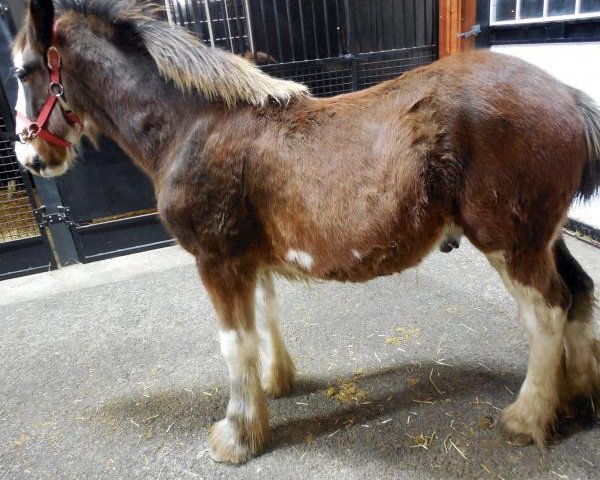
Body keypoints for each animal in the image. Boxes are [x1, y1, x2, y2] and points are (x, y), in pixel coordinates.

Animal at [12, 0, 600, 464]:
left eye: (20, 72)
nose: (29, 156)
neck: (192, 126)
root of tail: (568, 96)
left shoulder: (217, 261)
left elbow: (234, 343)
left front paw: (238, 436)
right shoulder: (248, 259)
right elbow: (266, 318)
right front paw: (277, 384)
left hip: (510, 244)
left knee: (547, 314)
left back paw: (526, 418)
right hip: (545, 239)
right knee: (577, 293)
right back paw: (578, 394)